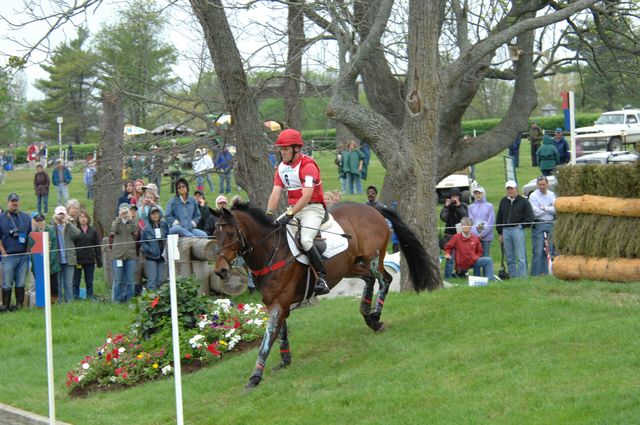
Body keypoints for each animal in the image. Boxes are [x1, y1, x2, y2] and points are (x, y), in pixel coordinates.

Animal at [212, 200, 442, 388]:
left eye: (231, 234)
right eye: (215, 234)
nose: (220, 271)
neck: (271, 251)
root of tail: (370, 207)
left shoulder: (279, 304)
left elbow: (266, 342)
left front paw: (255, 378)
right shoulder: (276, 304)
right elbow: (279, 333)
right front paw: (285, 362)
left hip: (373, 258)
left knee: (384, 279)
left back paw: (375, 317)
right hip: (350, 265)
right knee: (369, 279)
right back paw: (368, 315)